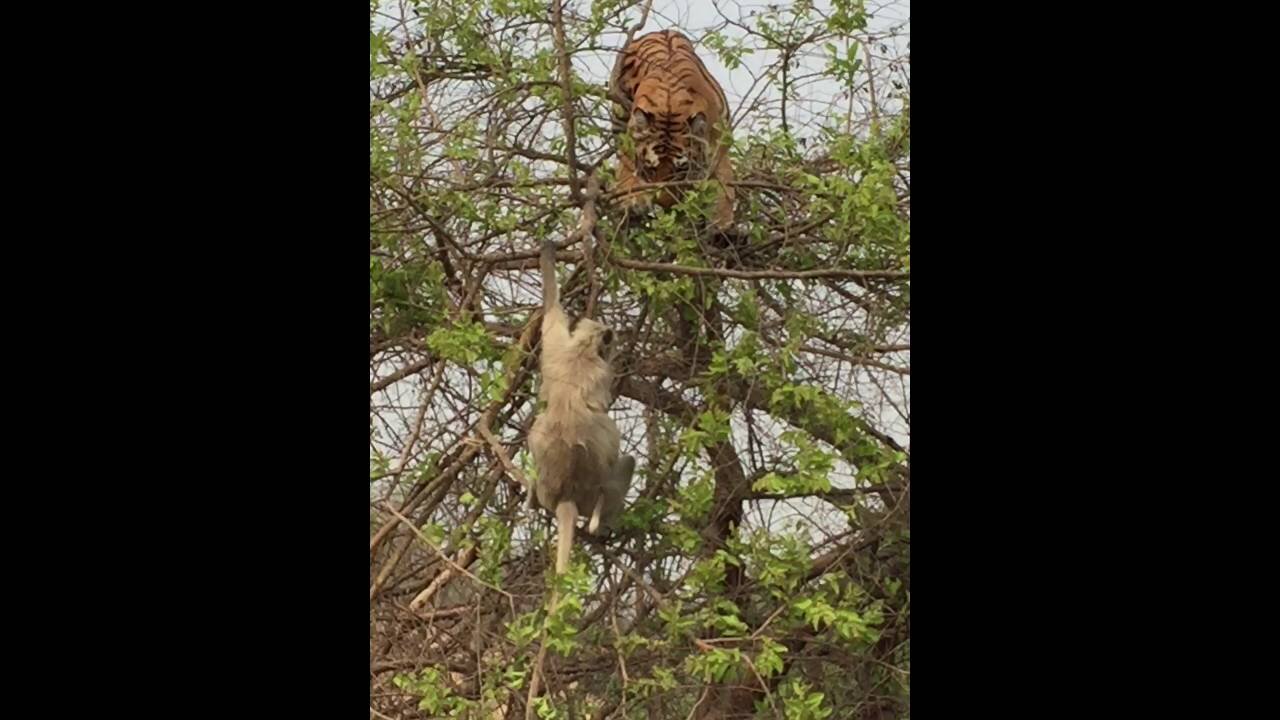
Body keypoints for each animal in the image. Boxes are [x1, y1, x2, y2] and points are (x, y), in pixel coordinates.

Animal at [611, 28, 737, 226]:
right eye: (651, 170)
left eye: (680, 171)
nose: (665, 204)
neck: (670, 108)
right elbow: (627, 165)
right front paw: (631, 199)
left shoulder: (719, 142)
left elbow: (723, 183)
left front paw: (722, 223)